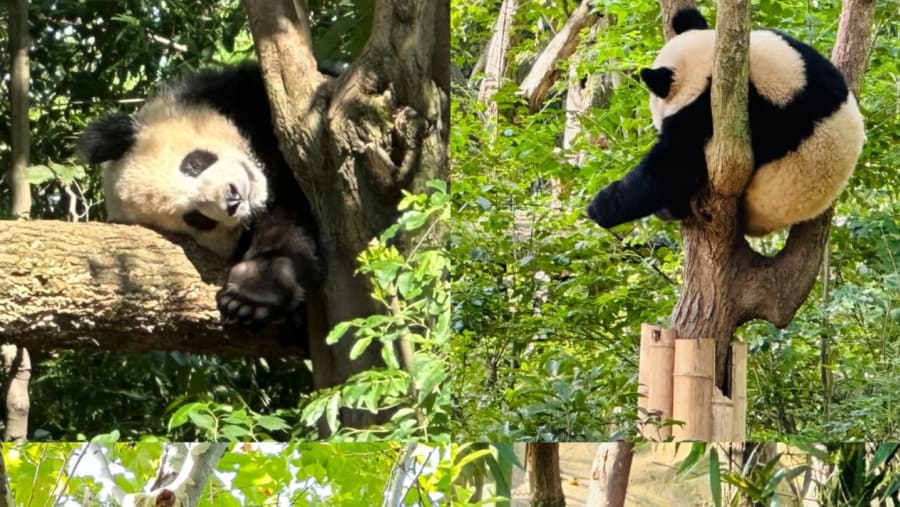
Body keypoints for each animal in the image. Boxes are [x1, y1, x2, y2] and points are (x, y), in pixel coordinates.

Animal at [587, 7, 865, 236]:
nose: (657, 127)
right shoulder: (800, 56)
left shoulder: (718, 112)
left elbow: (673, 165)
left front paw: (600, 207)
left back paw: (670, 209)